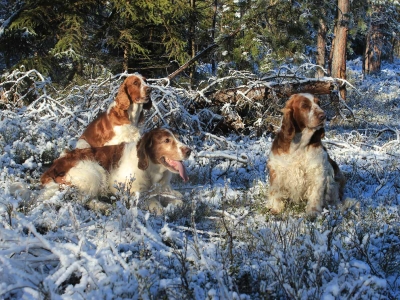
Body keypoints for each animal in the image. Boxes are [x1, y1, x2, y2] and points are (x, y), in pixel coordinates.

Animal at [41, 127, 191, 214]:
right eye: (166, 140)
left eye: (177, 138)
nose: (189, 151)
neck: (151, 169)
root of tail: (51, 170)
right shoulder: (128, 190)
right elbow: (155, 204)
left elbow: (178, 199)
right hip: (94, 171)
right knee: (80, 199)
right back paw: (102, 206)